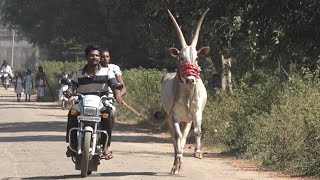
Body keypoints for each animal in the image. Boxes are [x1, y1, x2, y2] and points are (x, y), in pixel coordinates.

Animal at [160, 8, 210, 174]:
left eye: (196, 58)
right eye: (181, 57)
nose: (190, 80)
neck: (187, 96)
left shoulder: (196, 113)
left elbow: (197, 131)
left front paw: (198, 152)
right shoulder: (174, 116)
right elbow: (177, 137)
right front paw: (178, 160)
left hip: (187, 120)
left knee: (184, 136)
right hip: (170, 118)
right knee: (175, 139)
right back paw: (176, 163)